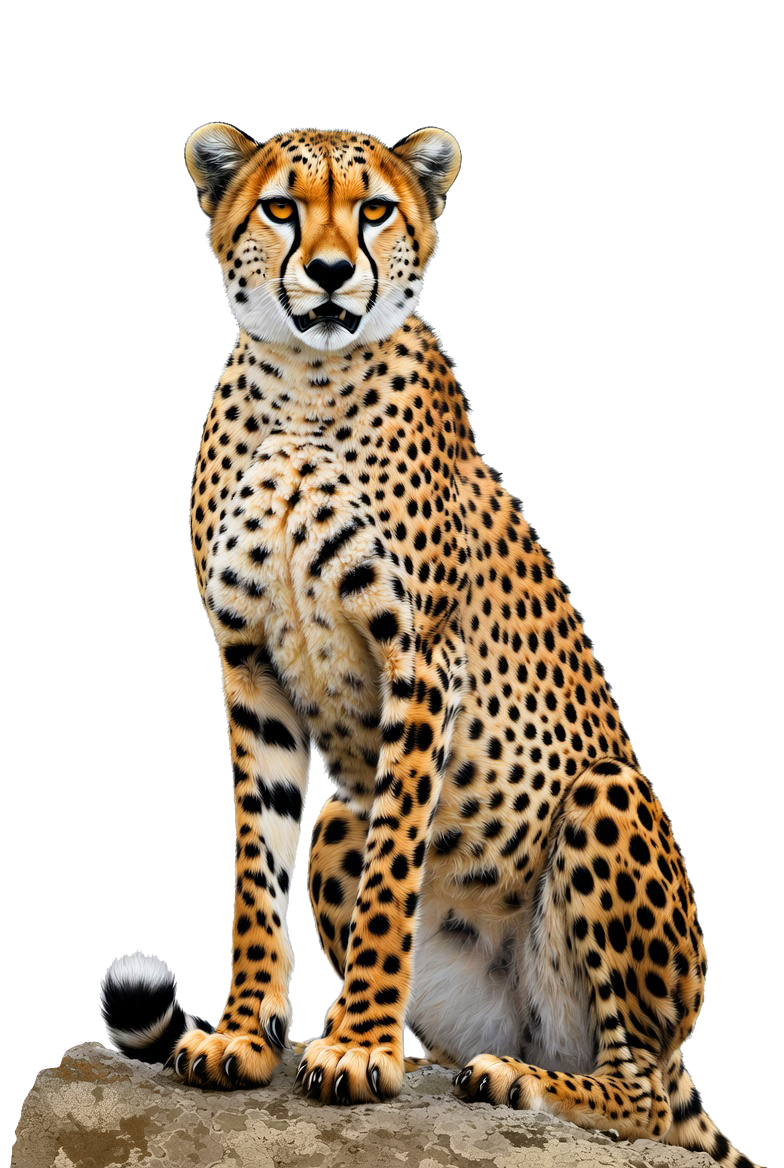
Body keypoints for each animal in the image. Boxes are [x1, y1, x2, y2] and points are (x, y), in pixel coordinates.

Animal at [99, 121, 763, 1167]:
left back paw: (527, 1083)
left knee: (646, 1095)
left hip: (607, 795)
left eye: (375, 209)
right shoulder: (249, 664)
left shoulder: (418, 661)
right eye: (280, 207)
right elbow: (255, 866)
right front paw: (247, 1033)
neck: (306, 384)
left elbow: (393, 873)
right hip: (343, 826)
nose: (332, 273)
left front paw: (359, 1047)